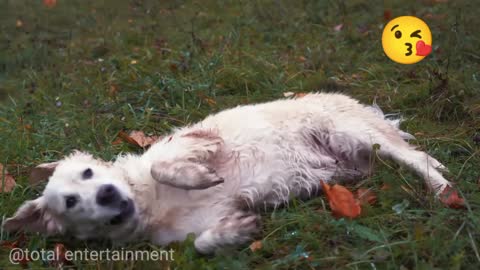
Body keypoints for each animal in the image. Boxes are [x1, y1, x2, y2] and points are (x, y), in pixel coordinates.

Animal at [2, 93, 450, 253]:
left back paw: (445, 191)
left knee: (421, 158)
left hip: (355, 133)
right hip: (360, 159)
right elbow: (201, 242)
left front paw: (195, 177)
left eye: (89, 172)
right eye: (71, 202)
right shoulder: (197, 224)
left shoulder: (198, 141)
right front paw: (234, 233)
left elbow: (166, 165)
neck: (150, 203)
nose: (107, 195)